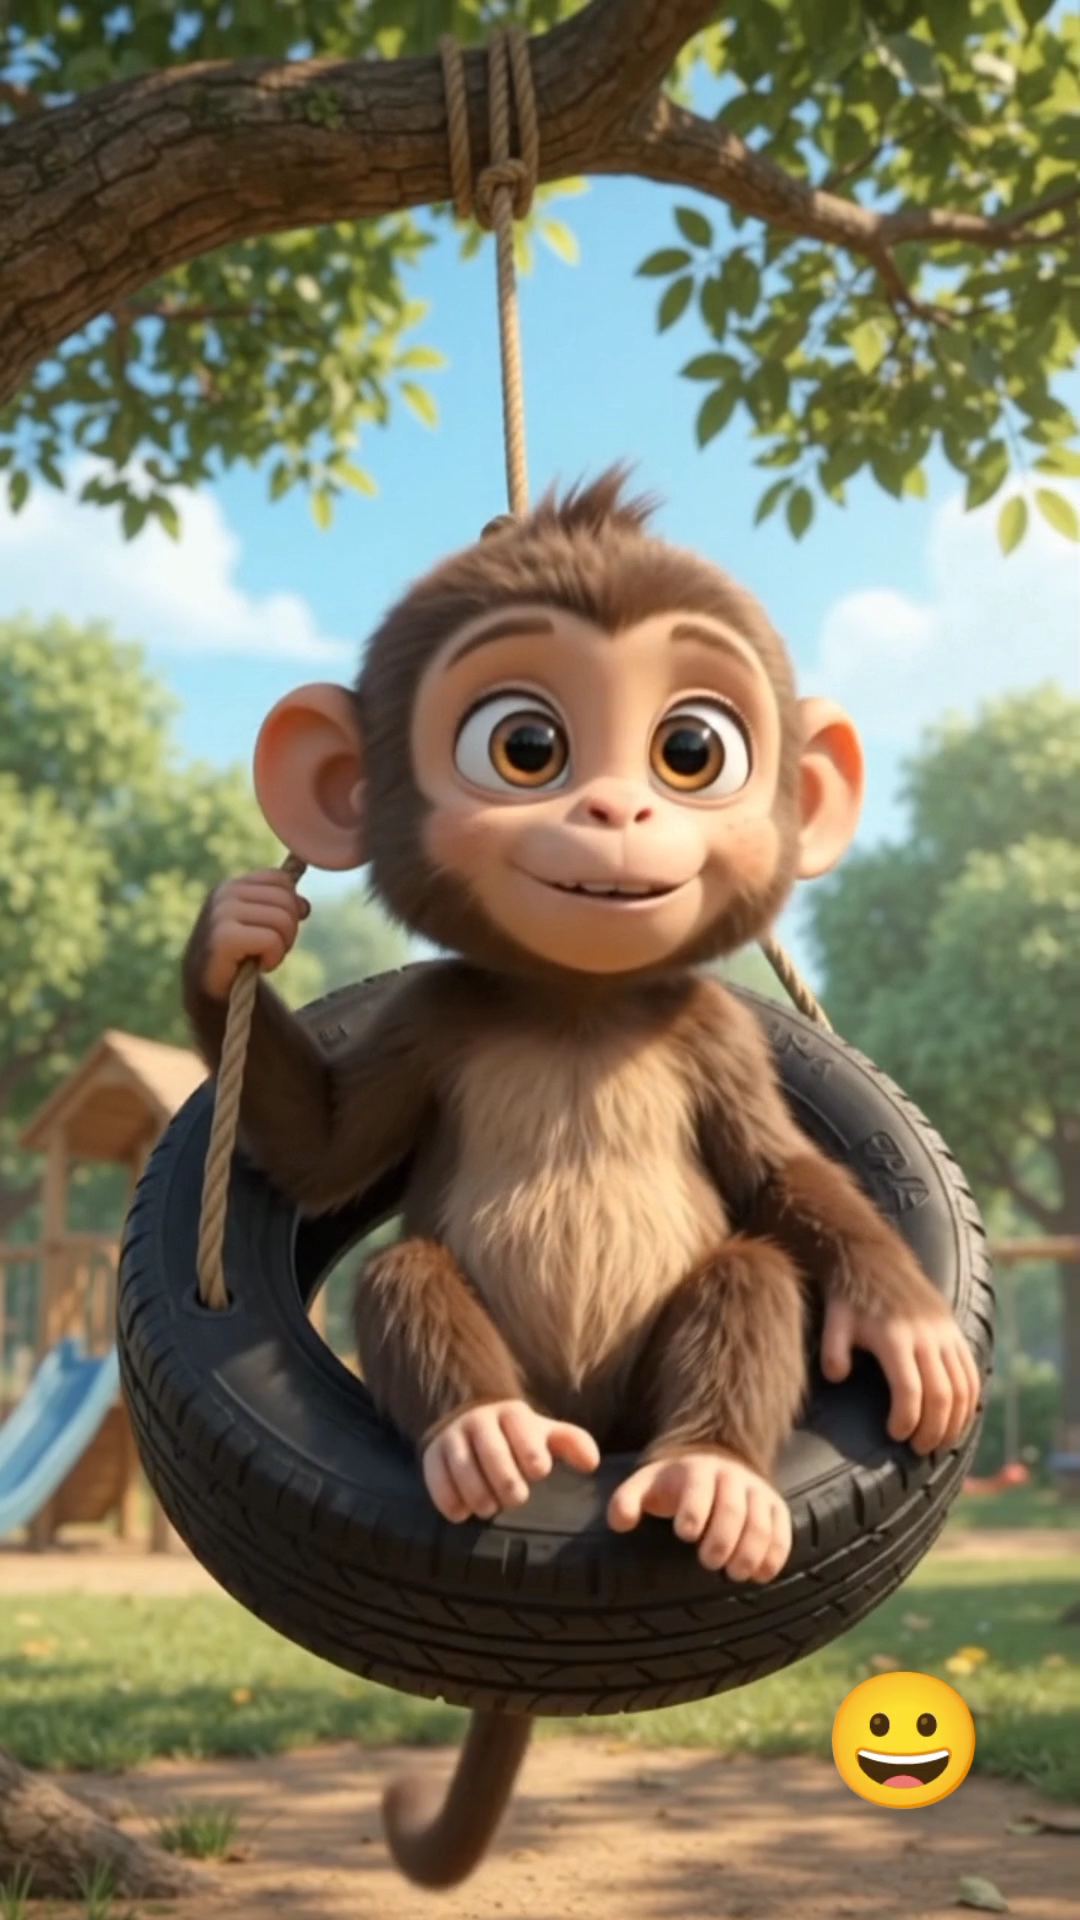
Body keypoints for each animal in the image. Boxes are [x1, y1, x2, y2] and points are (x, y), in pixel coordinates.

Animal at [182, 466, 980, 1891]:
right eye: (524, 745)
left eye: (693, 749)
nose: (616, 812)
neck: (574, 1004)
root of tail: (591, 1442)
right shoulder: (431, 1018)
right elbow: (328, 1153)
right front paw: (232, 941)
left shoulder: (716, 1037)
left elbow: (781, 1174)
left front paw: (906, 1327)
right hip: (510, 1381)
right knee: (407, 1270)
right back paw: (486, 1435)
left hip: (653, 1401)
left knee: (753, 1270)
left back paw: (714, 1478)